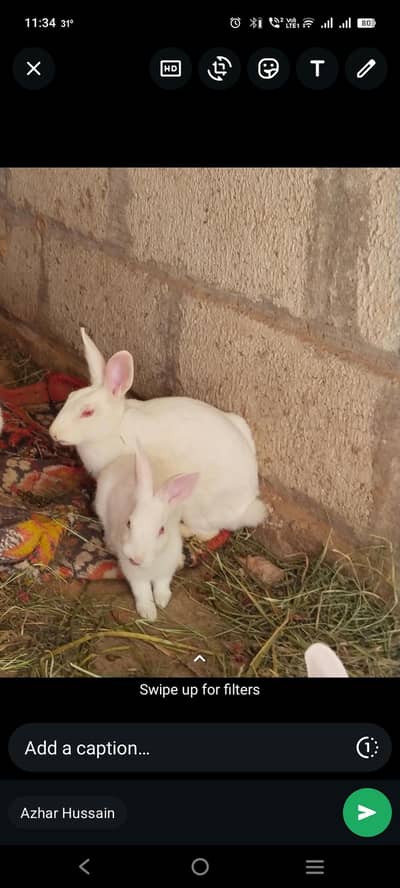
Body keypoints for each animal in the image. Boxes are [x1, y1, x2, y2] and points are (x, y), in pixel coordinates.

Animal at [49, 327, 266, 542]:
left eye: (87, 412)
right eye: (70, 397)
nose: (53, 433)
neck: (114, 427)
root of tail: (247, 503)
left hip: (195, 506)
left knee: (208, 533)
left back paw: (183, 530)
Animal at [94, 445, 199, 622]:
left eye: (161, 530)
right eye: (129, 523)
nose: (136, 558)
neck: (152, 563)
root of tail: (124, 458)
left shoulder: (165, 571)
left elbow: (162, 585)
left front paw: (162, 600)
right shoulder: (135, 576)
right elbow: (142, 592)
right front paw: (149, 613)